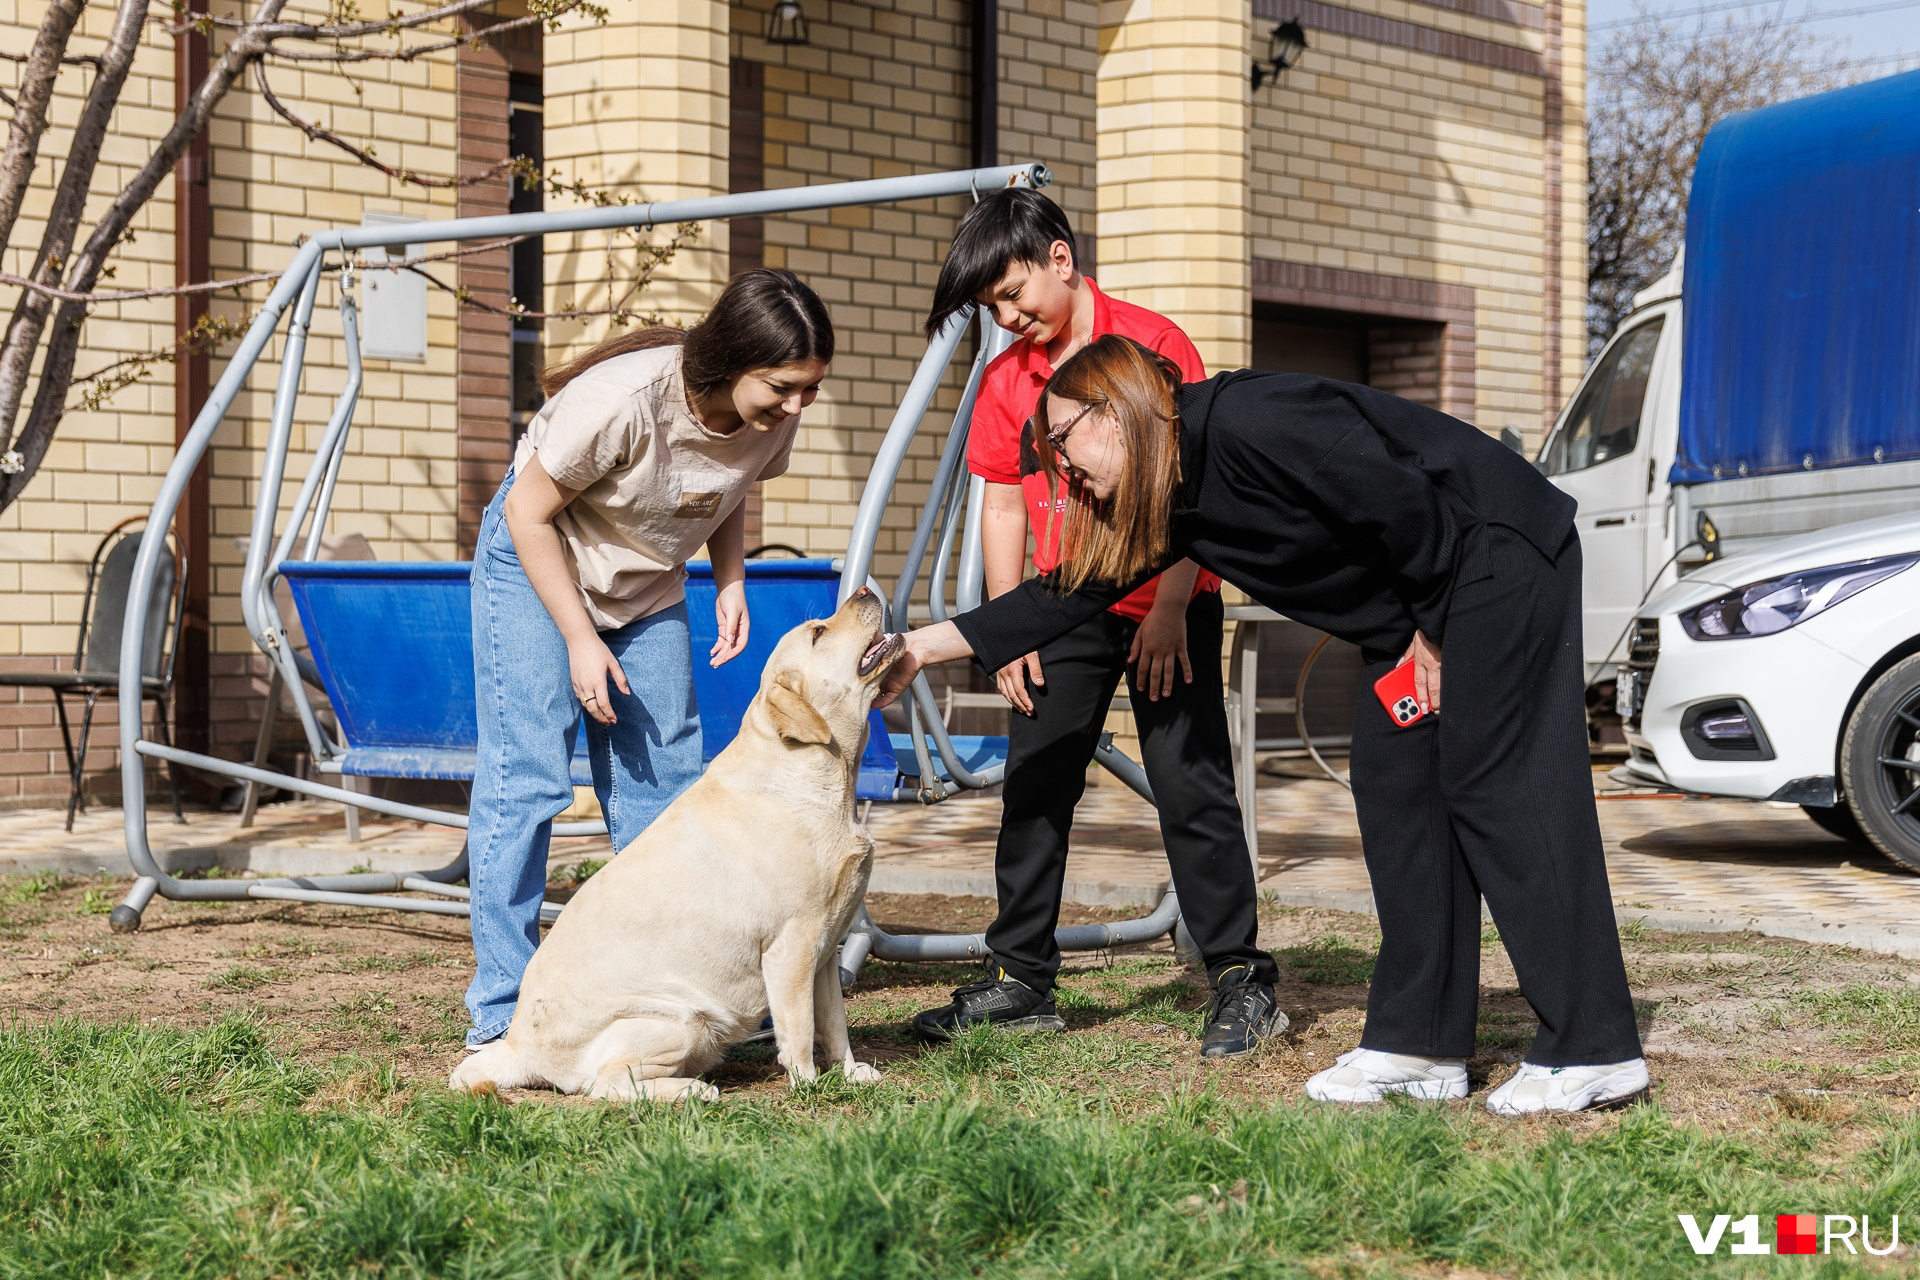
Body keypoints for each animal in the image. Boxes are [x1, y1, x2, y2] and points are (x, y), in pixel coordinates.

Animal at [447, 591, 898, 1105]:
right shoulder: (792, 947)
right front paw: (807, 1085)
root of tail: (519, 1049)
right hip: (680, 1018)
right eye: (819, 632)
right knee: (606, 1085)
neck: (820, 775)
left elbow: (836, 1024)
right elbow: (801, 1029)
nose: (864, 590)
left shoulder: (824, 953)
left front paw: (849, 1073)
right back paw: (695, 1091)